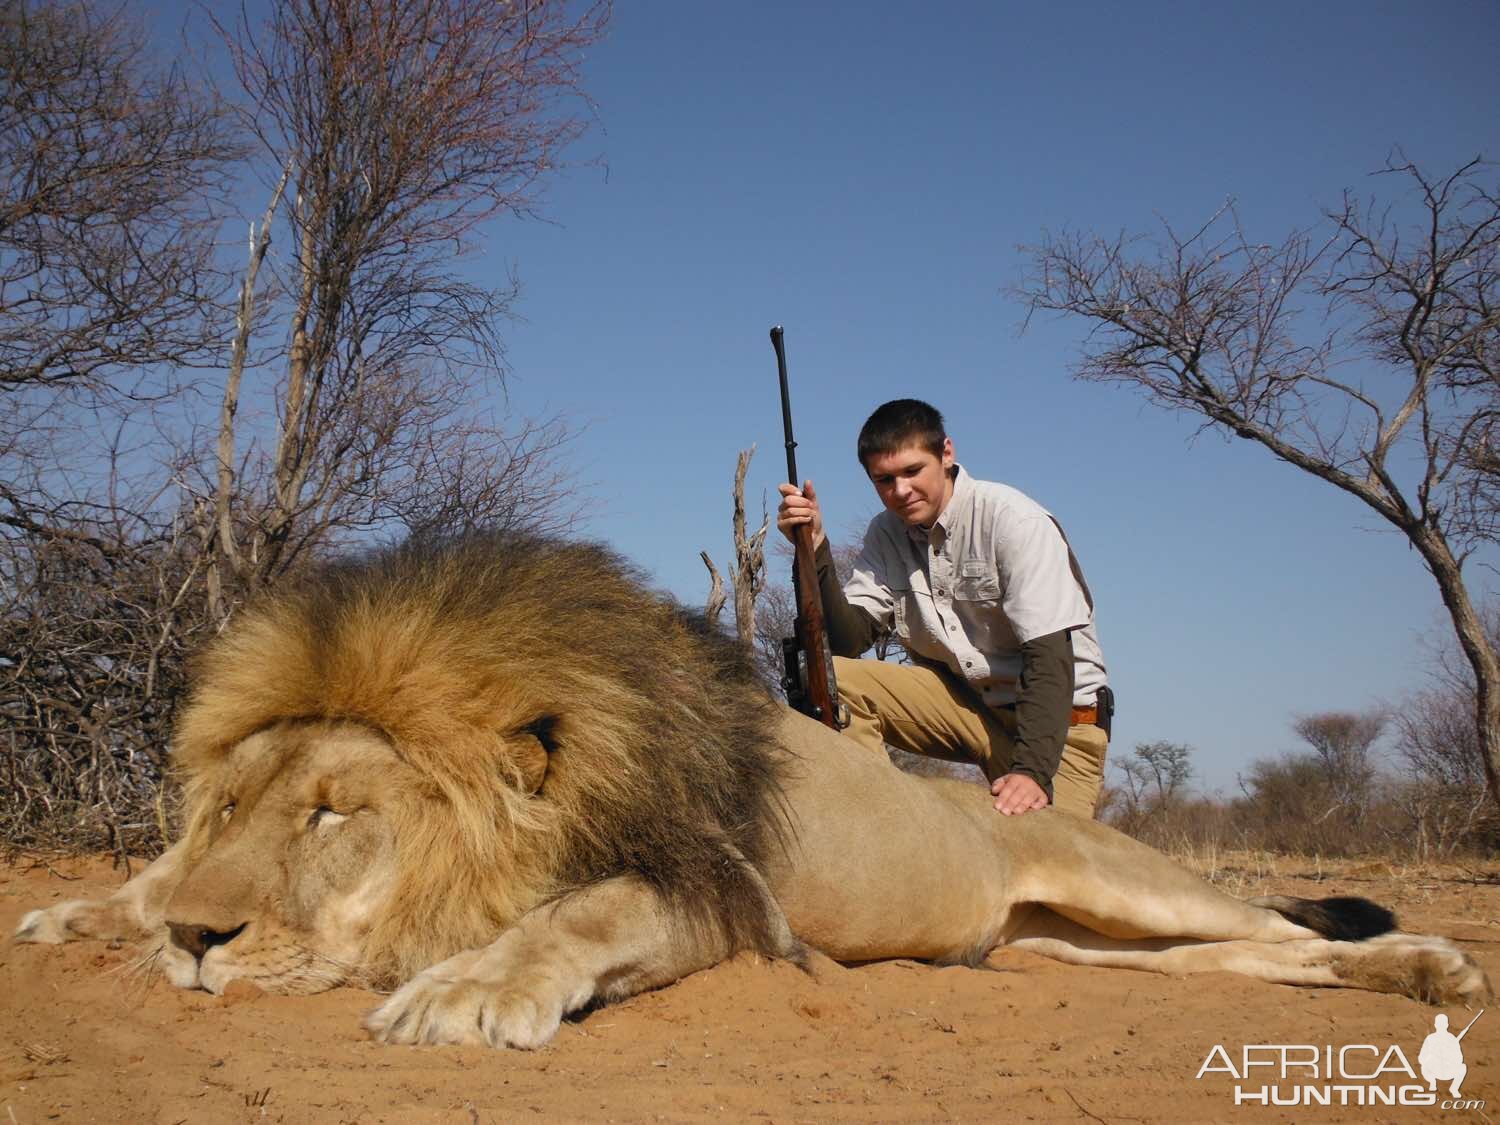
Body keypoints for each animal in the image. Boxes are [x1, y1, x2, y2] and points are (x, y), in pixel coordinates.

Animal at [11, 537, 1488, 1050]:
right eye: (232, 807)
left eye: (333, 813)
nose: (199, 940)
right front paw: (92, 916)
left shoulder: (721, 894)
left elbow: (583, 911)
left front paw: (466, 987)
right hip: (1071, 947)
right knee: (1257, 962)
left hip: (1120, 879)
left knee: (1285, 927)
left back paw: (1440, 965)